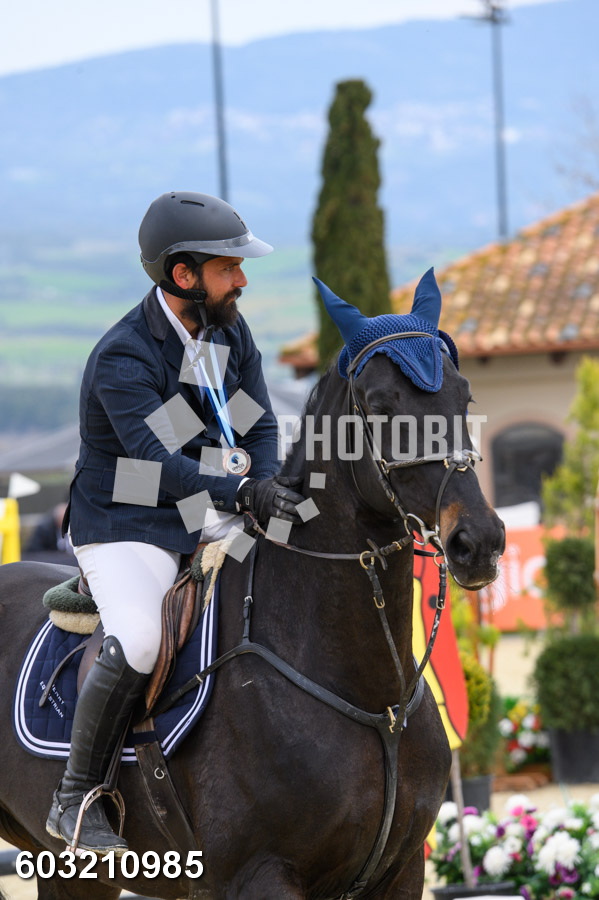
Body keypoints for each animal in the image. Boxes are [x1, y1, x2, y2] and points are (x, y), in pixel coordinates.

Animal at [0, 298, 504, 899]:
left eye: (465, 398)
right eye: (381, 407)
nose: (479, 542)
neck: (372, 693)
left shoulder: (402, 870)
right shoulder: (258, 875)